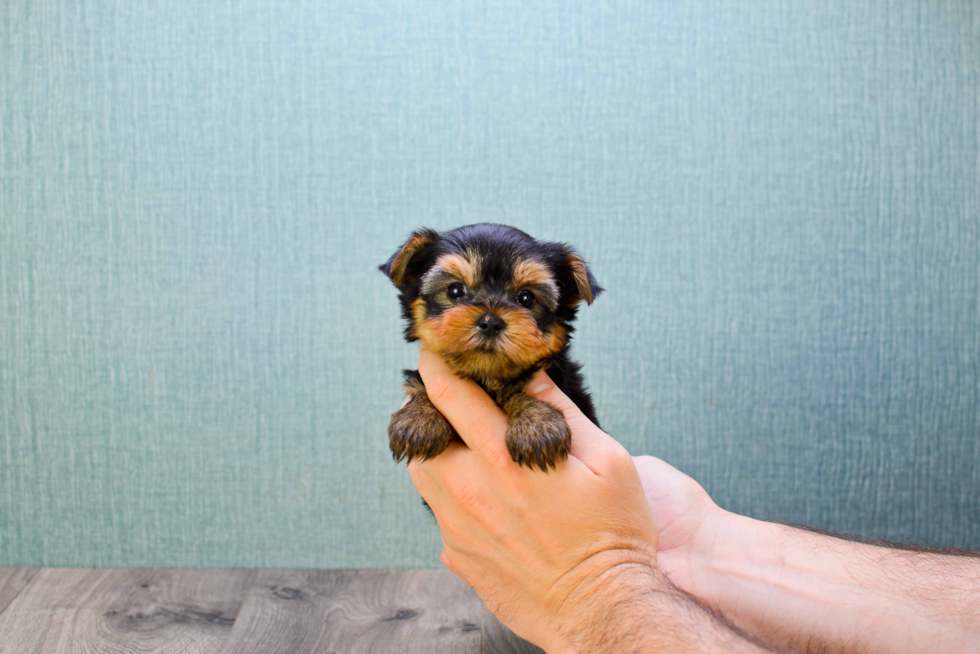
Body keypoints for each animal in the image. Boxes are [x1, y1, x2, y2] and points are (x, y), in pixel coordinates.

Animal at [380, 226, 596, 472]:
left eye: (526, 298)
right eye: (455, 290)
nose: (491, 322)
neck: (486, 377)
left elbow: (519, 391)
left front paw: (537, 424)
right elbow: (421, 386)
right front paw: (419, 418)